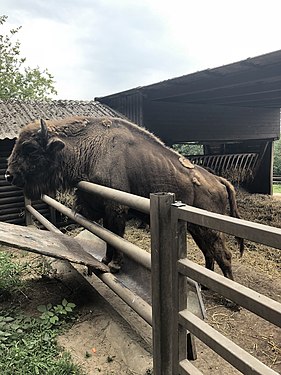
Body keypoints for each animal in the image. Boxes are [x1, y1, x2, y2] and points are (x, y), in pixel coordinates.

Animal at [6, 117, 243, 280]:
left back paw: (230, 300)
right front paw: (105, 260)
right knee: (209, 252)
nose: (9, 175)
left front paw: (115, 265)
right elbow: (108, 235)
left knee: (223, 253)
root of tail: (217, 180)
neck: (89, 147)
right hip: (196, 228)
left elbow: (117, 235)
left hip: (209, 228)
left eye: (30, 148)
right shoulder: (102, 209)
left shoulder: (116, 207)